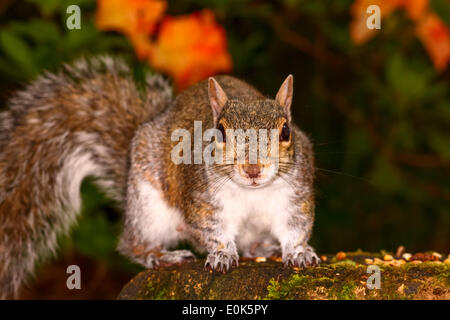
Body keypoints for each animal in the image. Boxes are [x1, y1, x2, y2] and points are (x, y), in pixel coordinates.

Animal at [0, 56, 320, 298]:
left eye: (286, 131)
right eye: (220, 131)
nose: (253, 169)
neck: (252, 191)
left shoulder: (295, 195)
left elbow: (295, 226)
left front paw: (298, 252)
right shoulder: (201, 197)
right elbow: (212, 228)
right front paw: (221, 254)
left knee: (252, 243)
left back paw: (261, 248)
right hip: (147, 206)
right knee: (133, 243)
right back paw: (161, 255)